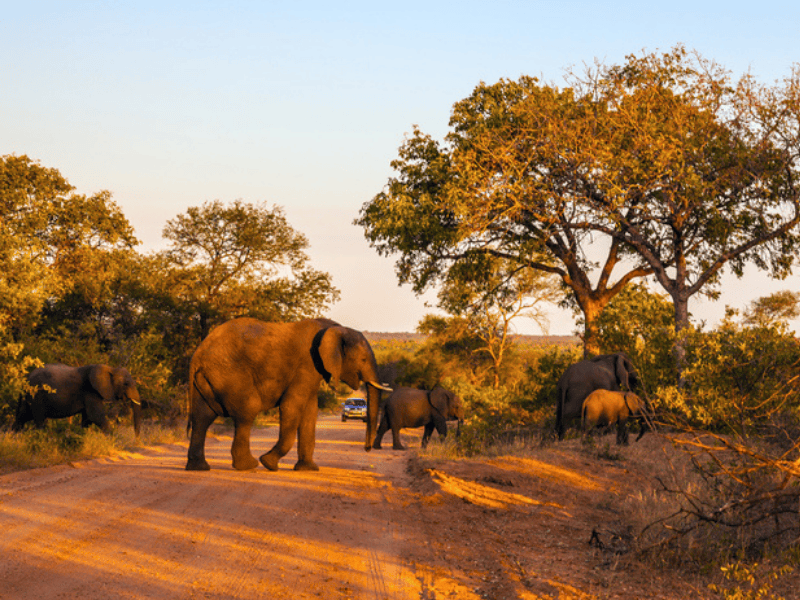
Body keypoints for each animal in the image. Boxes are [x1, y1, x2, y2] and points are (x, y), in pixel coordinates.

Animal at [13, 363, 142, 436]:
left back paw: (14, 436)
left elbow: (88, 418)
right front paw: (114, 441)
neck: (111, 368)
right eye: (126, 384)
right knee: (39, 418)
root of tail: (26, 377)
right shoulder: (90, 390)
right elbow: (95, 416)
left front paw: (82, 436)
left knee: (23, 415)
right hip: (37, 394)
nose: (137, 441)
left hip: (30, 395)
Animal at [185, 317, 391, 472]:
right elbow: (292, 407)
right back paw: (249, 465)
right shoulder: (307, 364)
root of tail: (198, 354)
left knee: (202, 417)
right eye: (363, 359)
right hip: (230, 372)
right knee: (247, 410)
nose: (367, 449)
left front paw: (308, 469)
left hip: (209, 377)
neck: (336, 328)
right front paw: (269, 463)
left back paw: (199, 467)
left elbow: (310, 412)